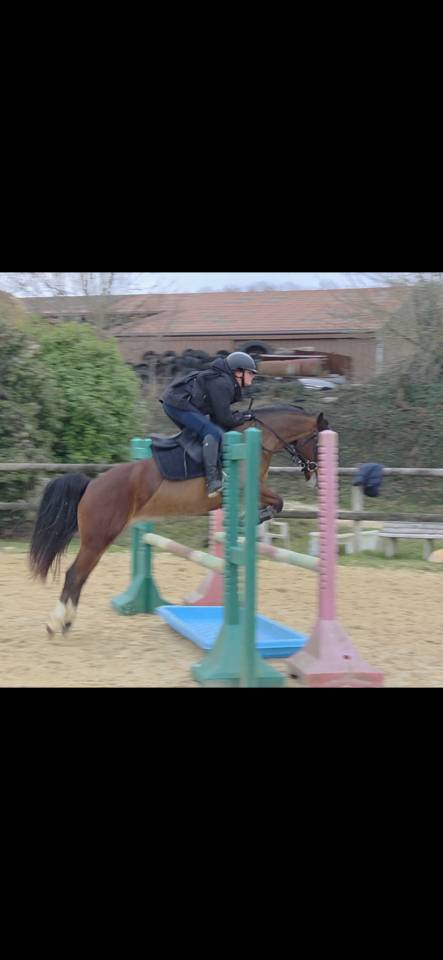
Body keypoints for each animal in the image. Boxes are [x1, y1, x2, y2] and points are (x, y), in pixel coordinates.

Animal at [29, 405, 328, 636]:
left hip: (99, 539)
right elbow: (278, 502)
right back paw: (56, 623)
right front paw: (251, 520)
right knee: (75, 574)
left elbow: (277, 504)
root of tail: (91, 485)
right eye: (318, 441)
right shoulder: (248, 488)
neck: (257, 437)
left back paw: (66, 622)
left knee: (80, 576)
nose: (316, 476)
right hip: (98, 538)